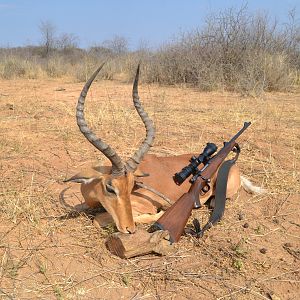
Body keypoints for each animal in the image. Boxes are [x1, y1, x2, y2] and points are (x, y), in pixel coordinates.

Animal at [64, 64, 264, 234]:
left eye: (131, 186)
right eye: (110, 188)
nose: (129, 229)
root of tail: (234, 168)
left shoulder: (145, 205)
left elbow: (98, 220)